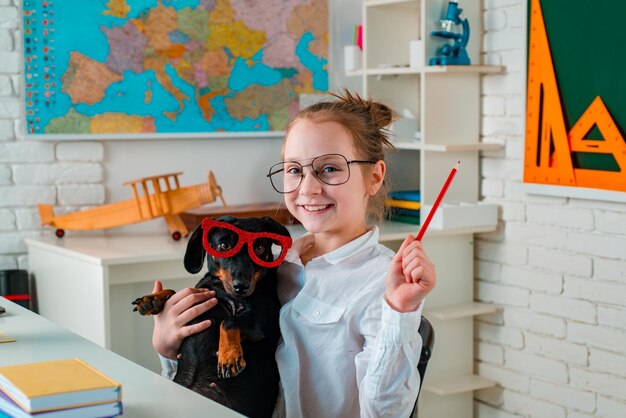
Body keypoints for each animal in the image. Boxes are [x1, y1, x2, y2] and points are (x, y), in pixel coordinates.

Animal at [131, 217, 290, 416]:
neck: (221, 287)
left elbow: (228, 321)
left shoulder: (261, 320)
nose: (242, 286)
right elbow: (176, 293)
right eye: (224, 245)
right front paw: (152, 299)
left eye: (259, 248)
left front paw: (229, 356)